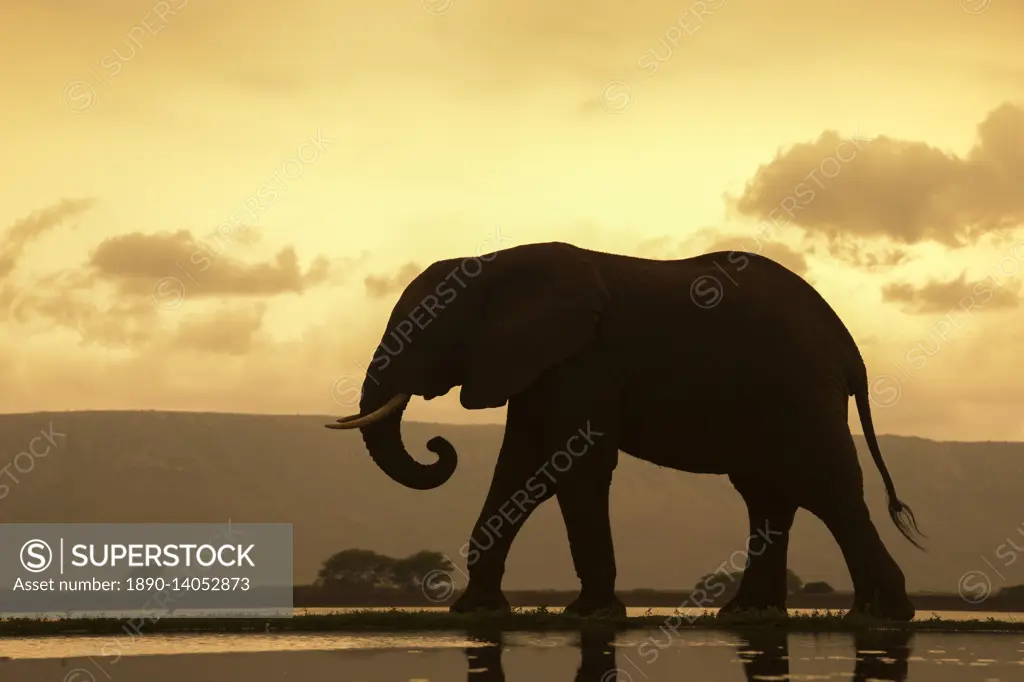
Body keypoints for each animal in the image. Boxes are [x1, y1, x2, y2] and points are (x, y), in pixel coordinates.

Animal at [329, 241, 929, 618]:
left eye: (426, 328)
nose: (437, 445)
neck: (498, 259)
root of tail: (849, 348)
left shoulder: (584, 360)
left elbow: (572, 465)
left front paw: (591, 614)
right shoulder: (540, 365)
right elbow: (521, 467)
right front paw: (477, 611)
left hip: (797, 384)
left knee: (824, 485)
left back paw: (884, 614)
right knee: (768, 492)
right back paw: (749, 613)